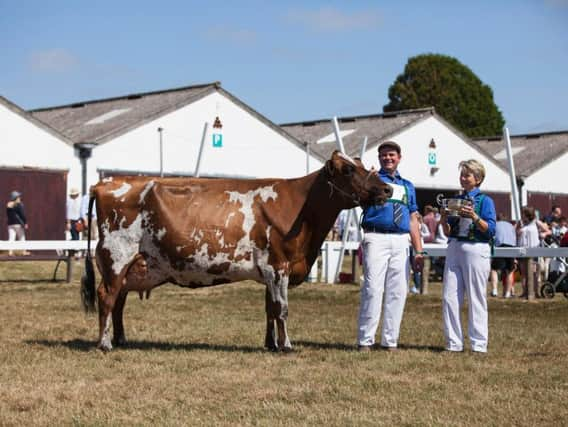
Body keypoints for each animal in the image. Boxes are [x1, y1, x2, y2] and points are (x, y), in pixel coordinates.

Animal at [81, 150, 390, 352]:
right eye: (348, 170)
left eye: (363, 164)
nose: (386, 189)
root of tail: (105, 182)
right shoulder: (279, 266)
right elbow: (282, 309)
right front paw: (287, 345)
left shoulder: (271, 271)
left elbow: (270, 308)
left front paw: (271, 344)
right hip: (116, 256)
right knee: (106, 296)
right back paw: (105, 343)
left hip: (132, 264)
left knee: (119, 300)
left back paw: (121, 339)